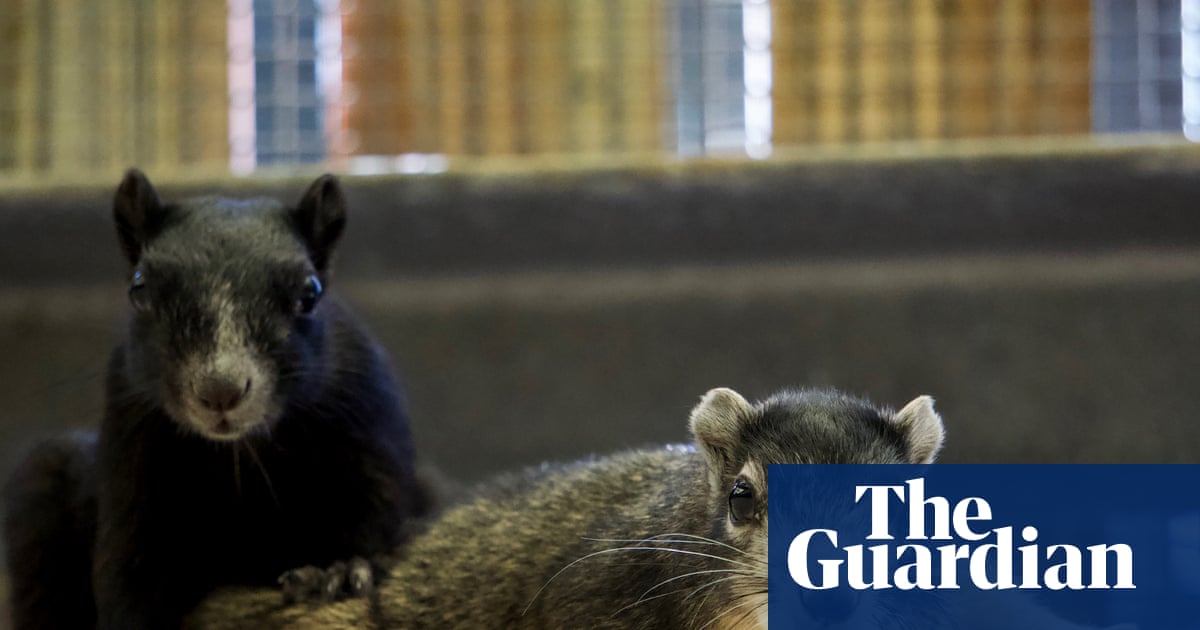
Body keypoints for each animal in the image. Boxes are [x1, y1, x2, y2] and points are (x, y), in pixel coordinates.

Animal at [3, 170, 432, 630]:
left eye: (311, 292)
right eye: (139, 289)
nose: (219, 390)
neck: (238, 453)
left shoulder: (369, 426)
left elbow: (374, 511)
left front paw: (343, 568)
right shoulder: (130, 459)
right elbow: (129, 574)